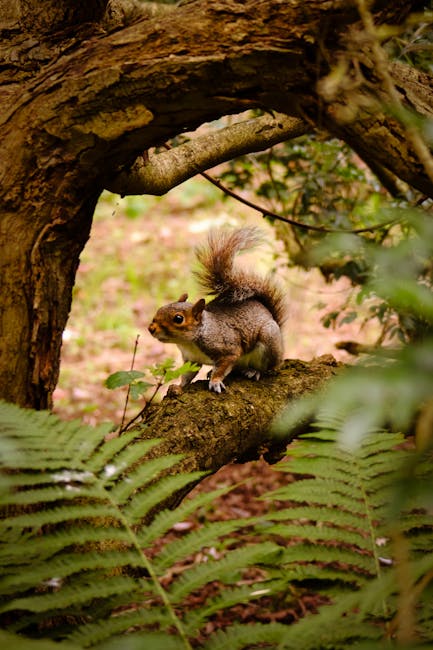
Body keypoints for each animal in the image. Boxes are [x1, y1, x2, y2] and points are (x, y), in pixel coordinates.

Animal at [148, 226, 286, 393]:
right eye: (160, 308)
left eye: (178, 319)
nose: (151, 328)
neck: (191, 341)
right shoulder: (191, 360)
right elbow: (188, 375)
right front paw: (179, 386)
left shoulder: (227, 350)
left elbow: (223, 367)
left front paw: (215, 382)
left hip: (269, 340)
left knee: (269, 367)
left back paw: (254, 371)